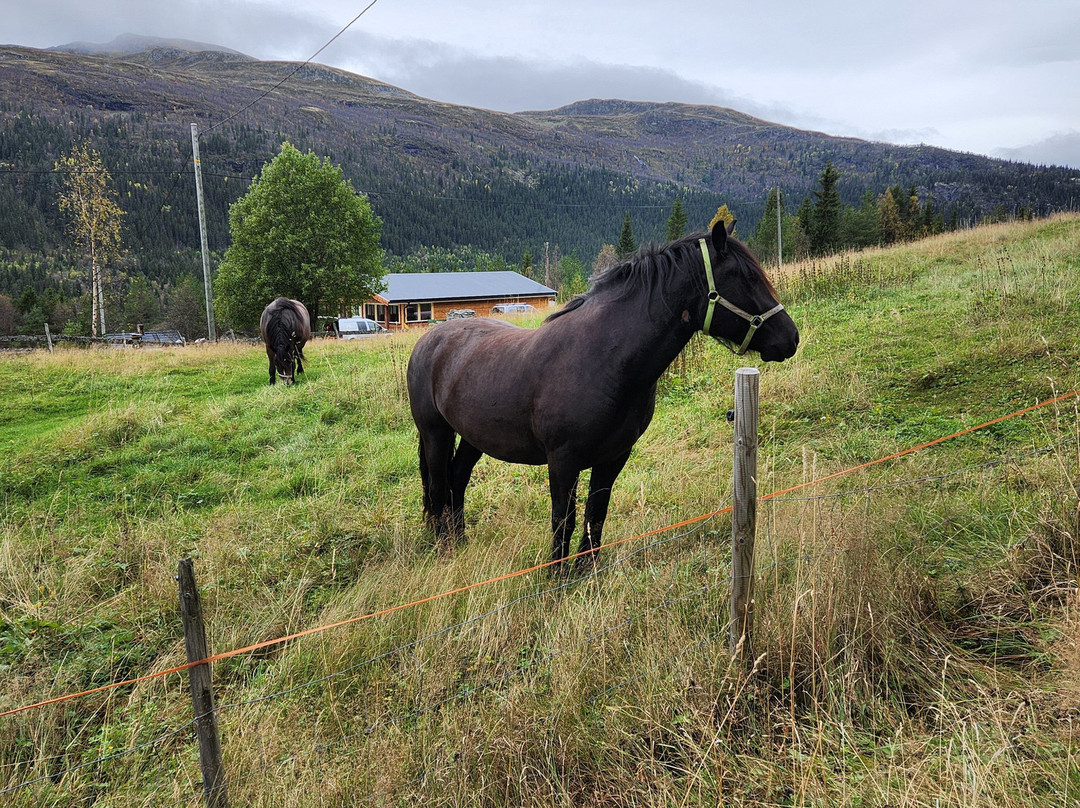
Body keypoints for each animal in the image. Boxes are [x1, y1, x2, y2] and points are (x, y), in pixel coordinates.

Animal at [408, 221, 799, 570]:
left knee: (458, 477)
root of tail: (430, 340)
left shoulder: (613, 457)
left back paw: (461, 540)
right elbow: (563, 519)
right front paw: (556, 577)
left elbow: (596, 513)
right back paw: (445, 547)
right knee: (440, 485)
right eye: (746, 278)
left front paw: (586, 570)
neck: (603, 359)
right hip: (435, 433)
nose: (790, 337)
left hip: (474, 436)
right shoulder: (562, 461)